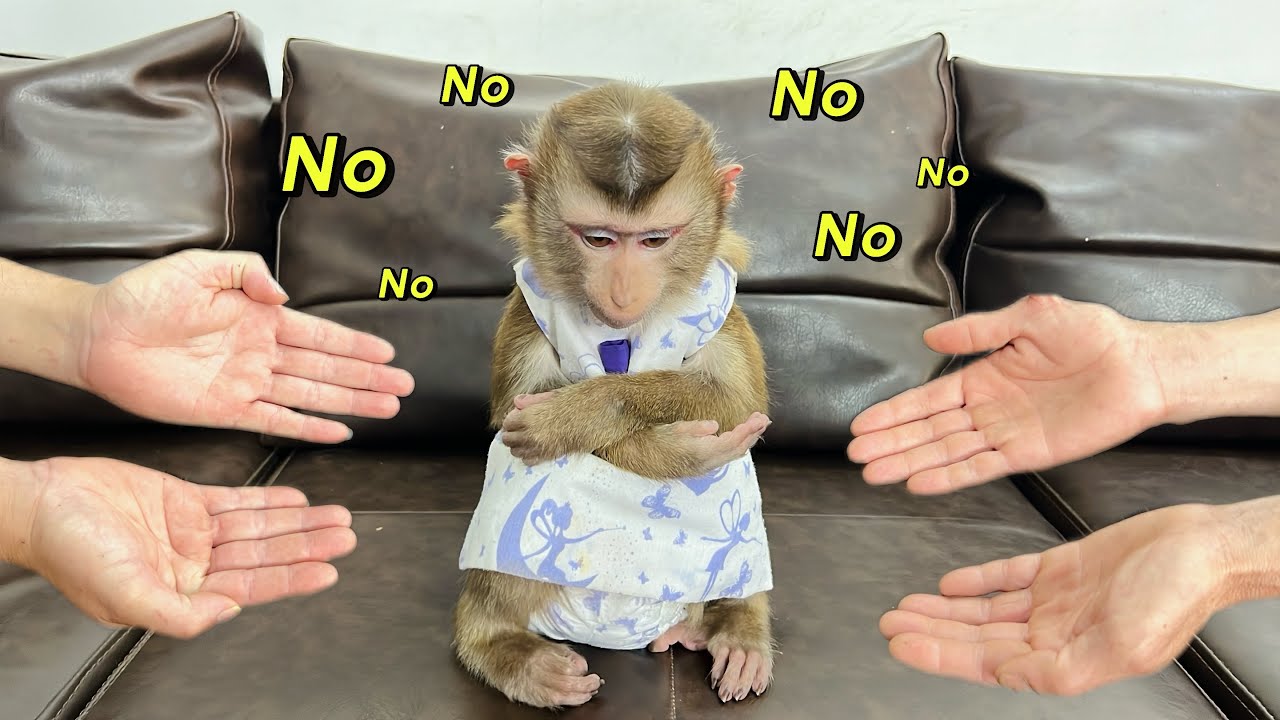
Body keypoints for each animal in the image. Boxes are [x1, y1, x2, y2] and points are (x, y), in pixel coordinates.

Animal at [452, 81, 775, 709]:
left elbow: (739, 402)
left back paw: (733, 626)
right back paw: (505, 648)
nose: (624, 290)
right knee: (518, 468)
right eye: (598, 238)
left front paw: (580, 417)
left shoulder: (721, 311)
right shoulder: (526, 308)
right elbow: (512, 414)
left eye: (654, 240)